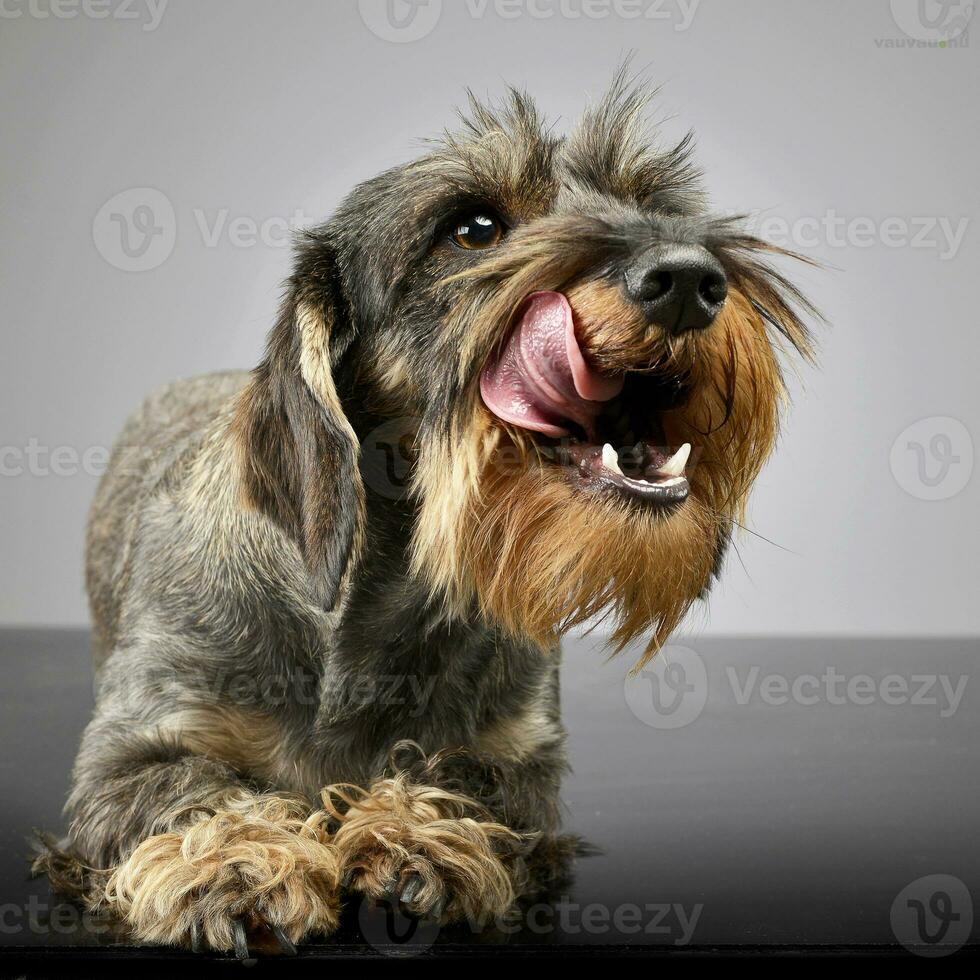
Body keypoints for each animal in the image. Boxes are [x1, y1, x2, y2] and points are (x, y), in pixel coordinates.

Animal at [36, 74, 812, 956]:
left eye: (652, 203)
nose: (688, 278)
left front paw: (414, 832)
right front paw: (237, 860)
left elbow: (462, 772)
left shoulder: (521, 758)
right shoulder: (133, 746)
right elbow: (184, 787)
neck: (378, 611)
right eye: (472, 228)